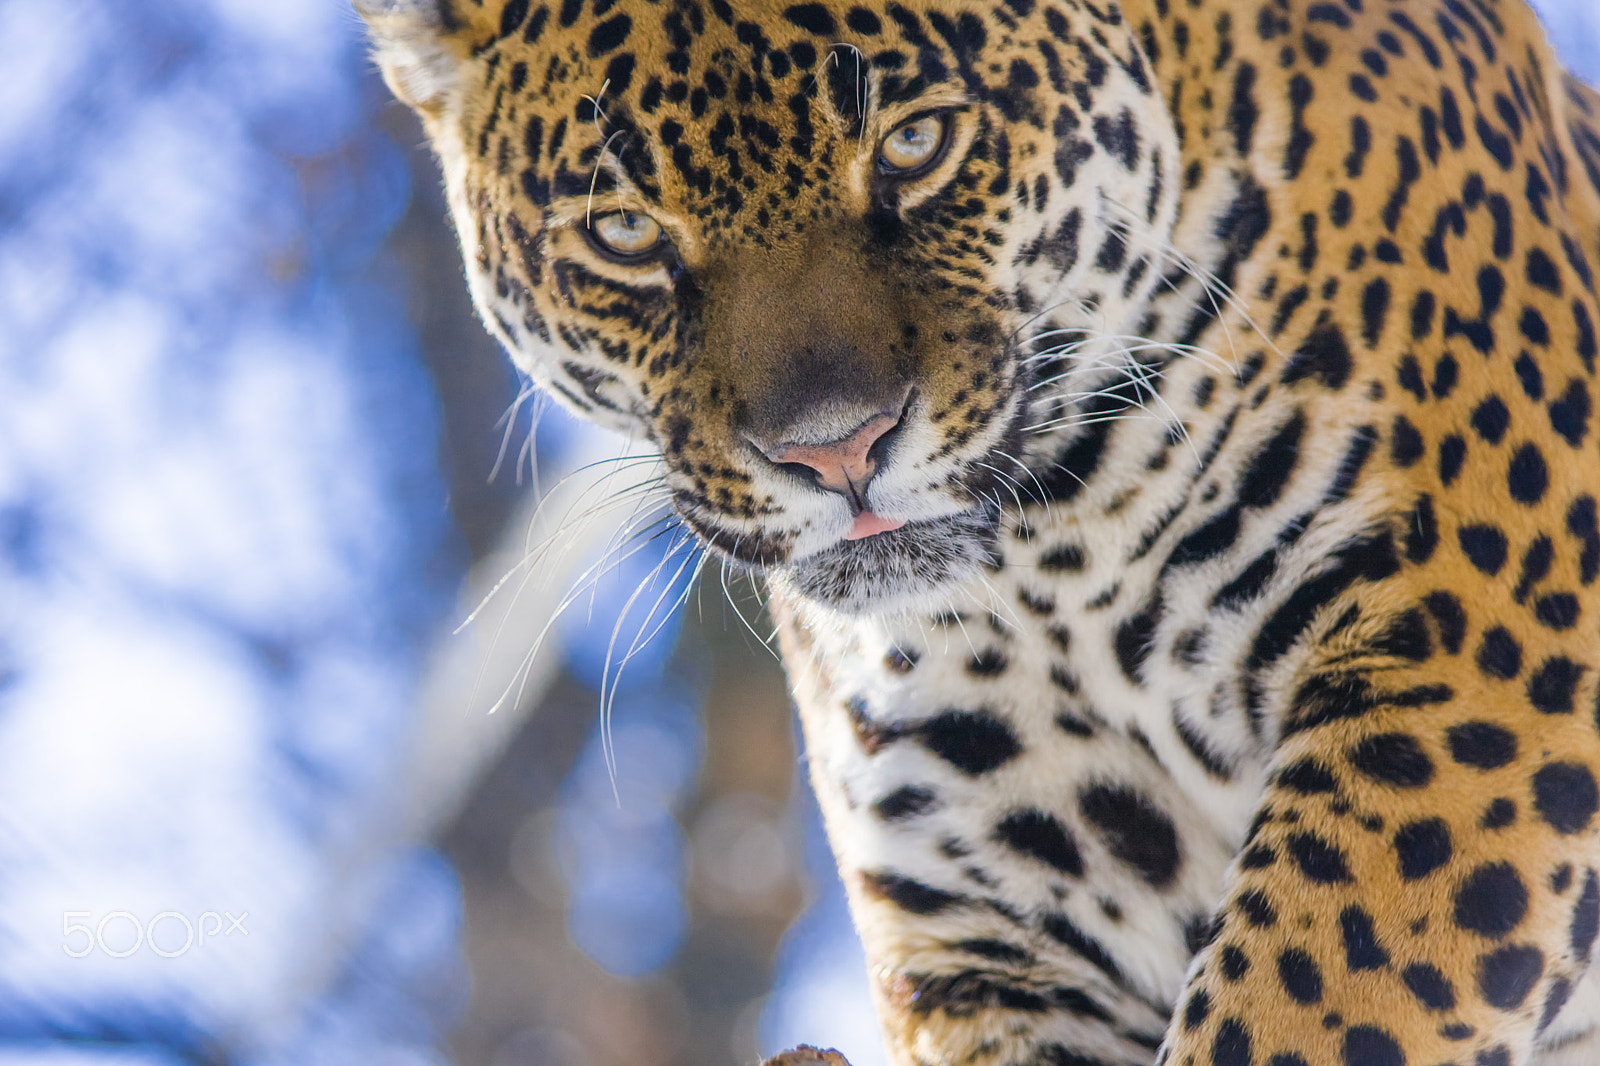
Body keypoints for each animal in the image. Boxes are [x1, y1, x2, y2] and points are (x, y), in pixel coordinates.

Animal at [356, 0, 1600, 1062]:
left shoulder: (1467, 680)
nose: (835, 450)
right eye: (621, 231)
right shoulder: (984, 927)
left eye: (916, 145)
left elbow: (1299, 1011)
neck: (1060, 555)